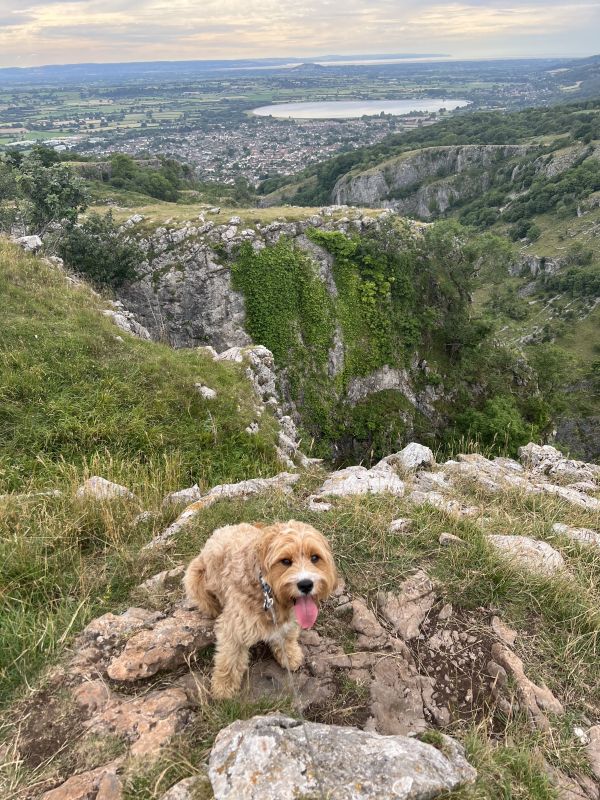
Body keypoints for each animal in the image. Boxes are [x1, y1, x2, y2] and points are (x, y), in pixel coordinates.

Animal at [183, 520, 338, 696]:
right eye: (285, 561)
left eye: (315, 557)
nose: (306, 585)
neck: (265, 588)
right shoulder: (234, 628)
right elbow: (230, 658)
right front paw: (224, 686)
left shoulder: (286, 619)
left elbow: (287, 636)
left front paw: (289, 654)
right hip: (194, 580)